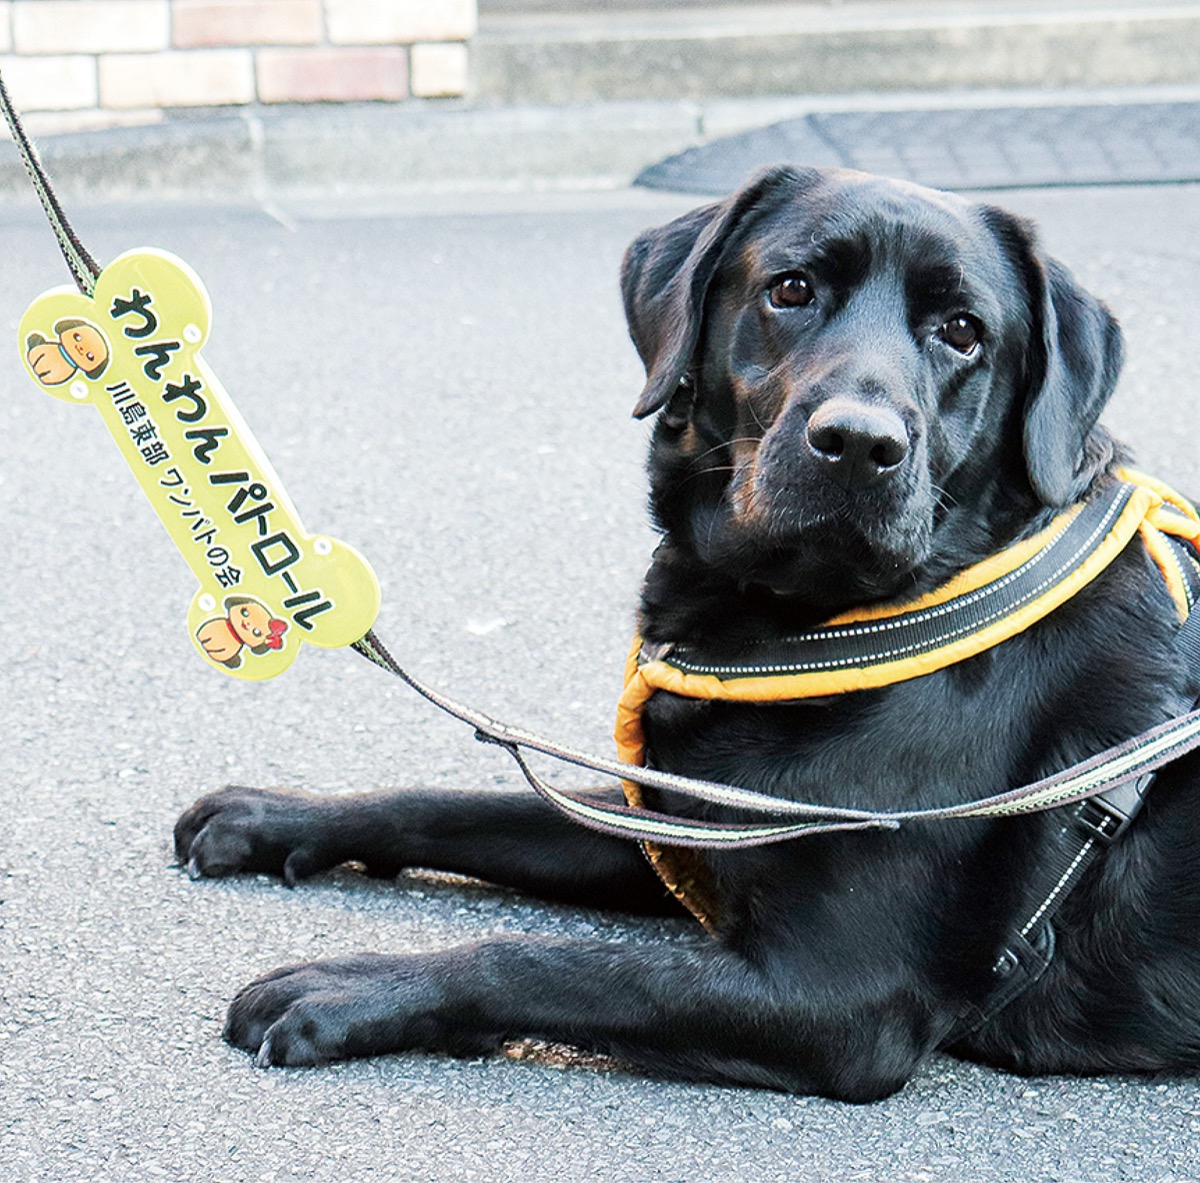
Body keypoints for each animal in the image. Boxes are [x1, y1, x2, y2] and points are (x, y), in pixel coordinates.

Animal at [174, 165, 1200, 1099]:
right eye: (791, 289)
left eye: (962, 332)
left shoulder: (839, 997)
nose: (860, 444)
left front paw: (347, 985)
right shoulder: (675, 817)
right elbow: (448, 801)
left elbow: (550, 959)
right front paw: (276, 814)